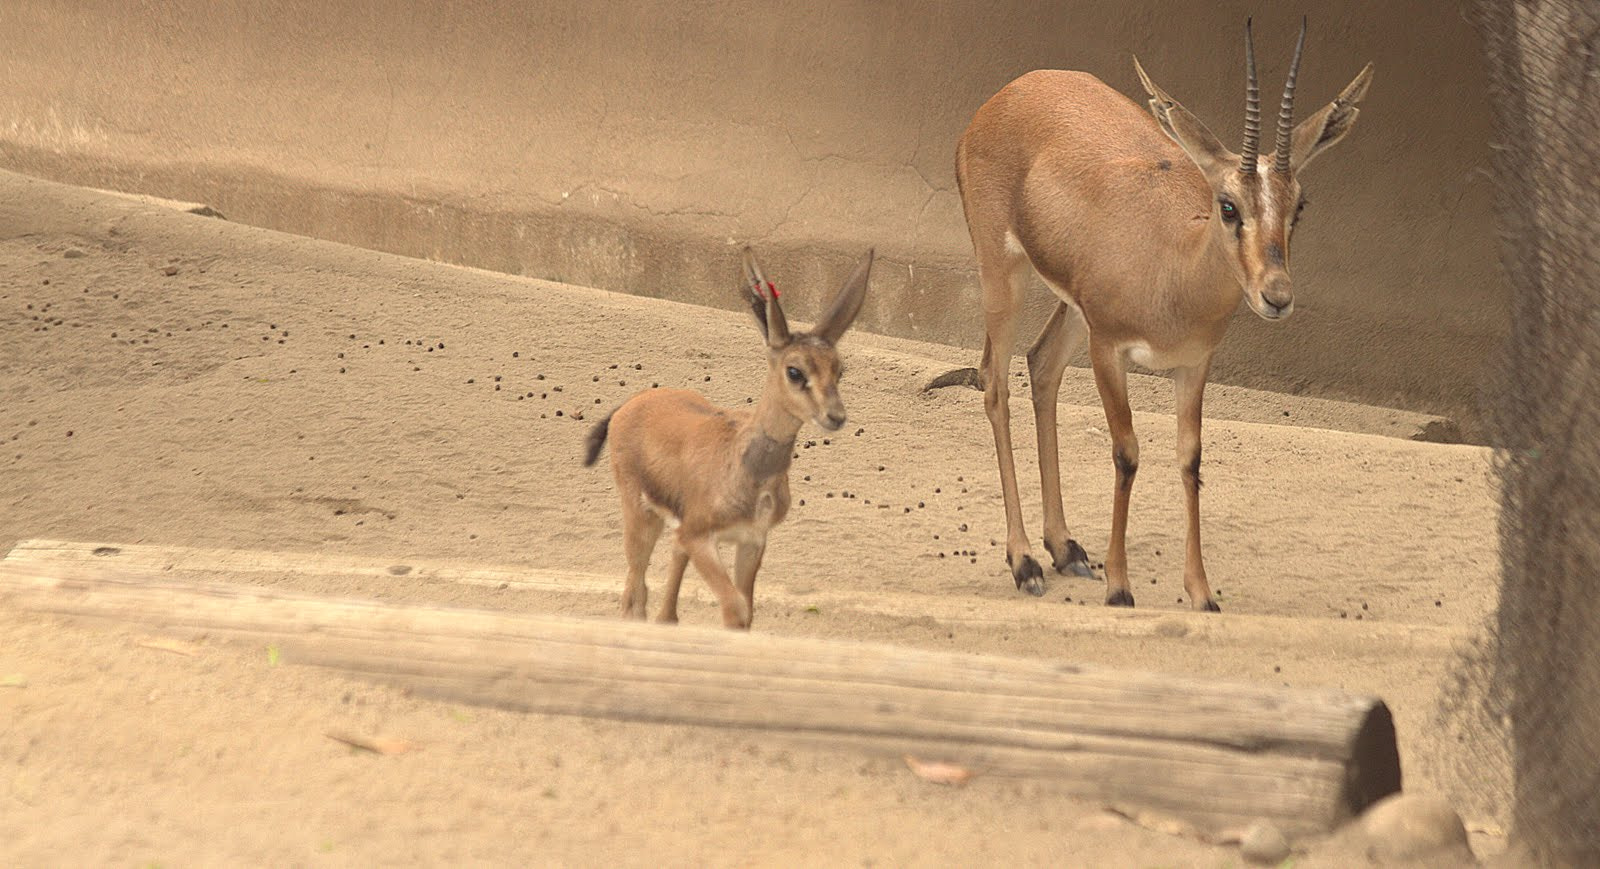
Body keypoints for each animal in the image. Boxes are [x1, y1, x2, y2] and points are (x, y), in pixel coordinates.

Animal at [583, 247, 873, 629]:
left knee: (664, 581)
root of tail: (629, 405)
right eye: (795, 371)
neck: (748, 470)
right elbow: (735, 608)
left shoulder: (751, 540)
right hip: (641, 513)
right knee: (635, 590)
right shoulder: (700, 536)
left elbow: (747, 611)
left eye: (839, 369)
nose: (836, 416)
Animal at [954, 19, 1373, 610]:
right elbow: (1127, 452)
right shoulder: (1109, 350)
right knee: (994, 381)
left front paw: (1202, 594)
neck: (1173, 266)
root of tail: (1007, 94)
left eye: (1299, 206)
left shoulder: (1193, 365)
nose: (1277, 295)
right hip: (1003, 273)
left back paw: (1066, 549)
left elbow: (1190, 459)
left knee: (1041, 366)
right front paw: (1120, 589)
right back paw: (1025, 563)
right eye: (1228, 206)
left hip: (1073, 310)